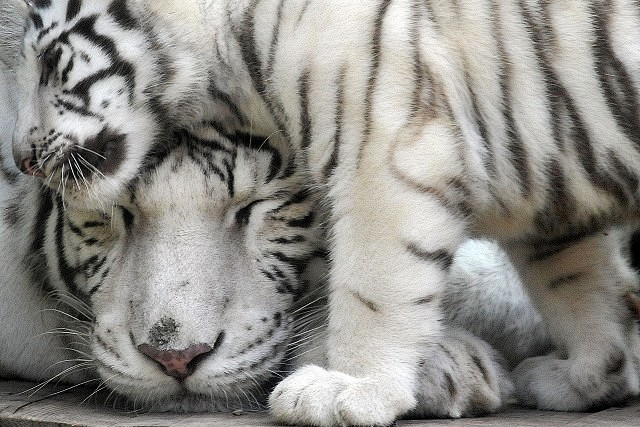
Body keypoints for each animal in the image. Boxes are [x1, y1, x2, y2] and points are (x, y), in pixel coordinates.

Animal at [10, 0, 640, 425]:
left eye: (46, 64)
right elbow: (580, 287)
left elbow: (374, 286)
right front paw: (586, 377)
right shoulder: (549, 199)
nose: (20, 157)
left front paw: (349, 388)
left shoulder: (390, 148)